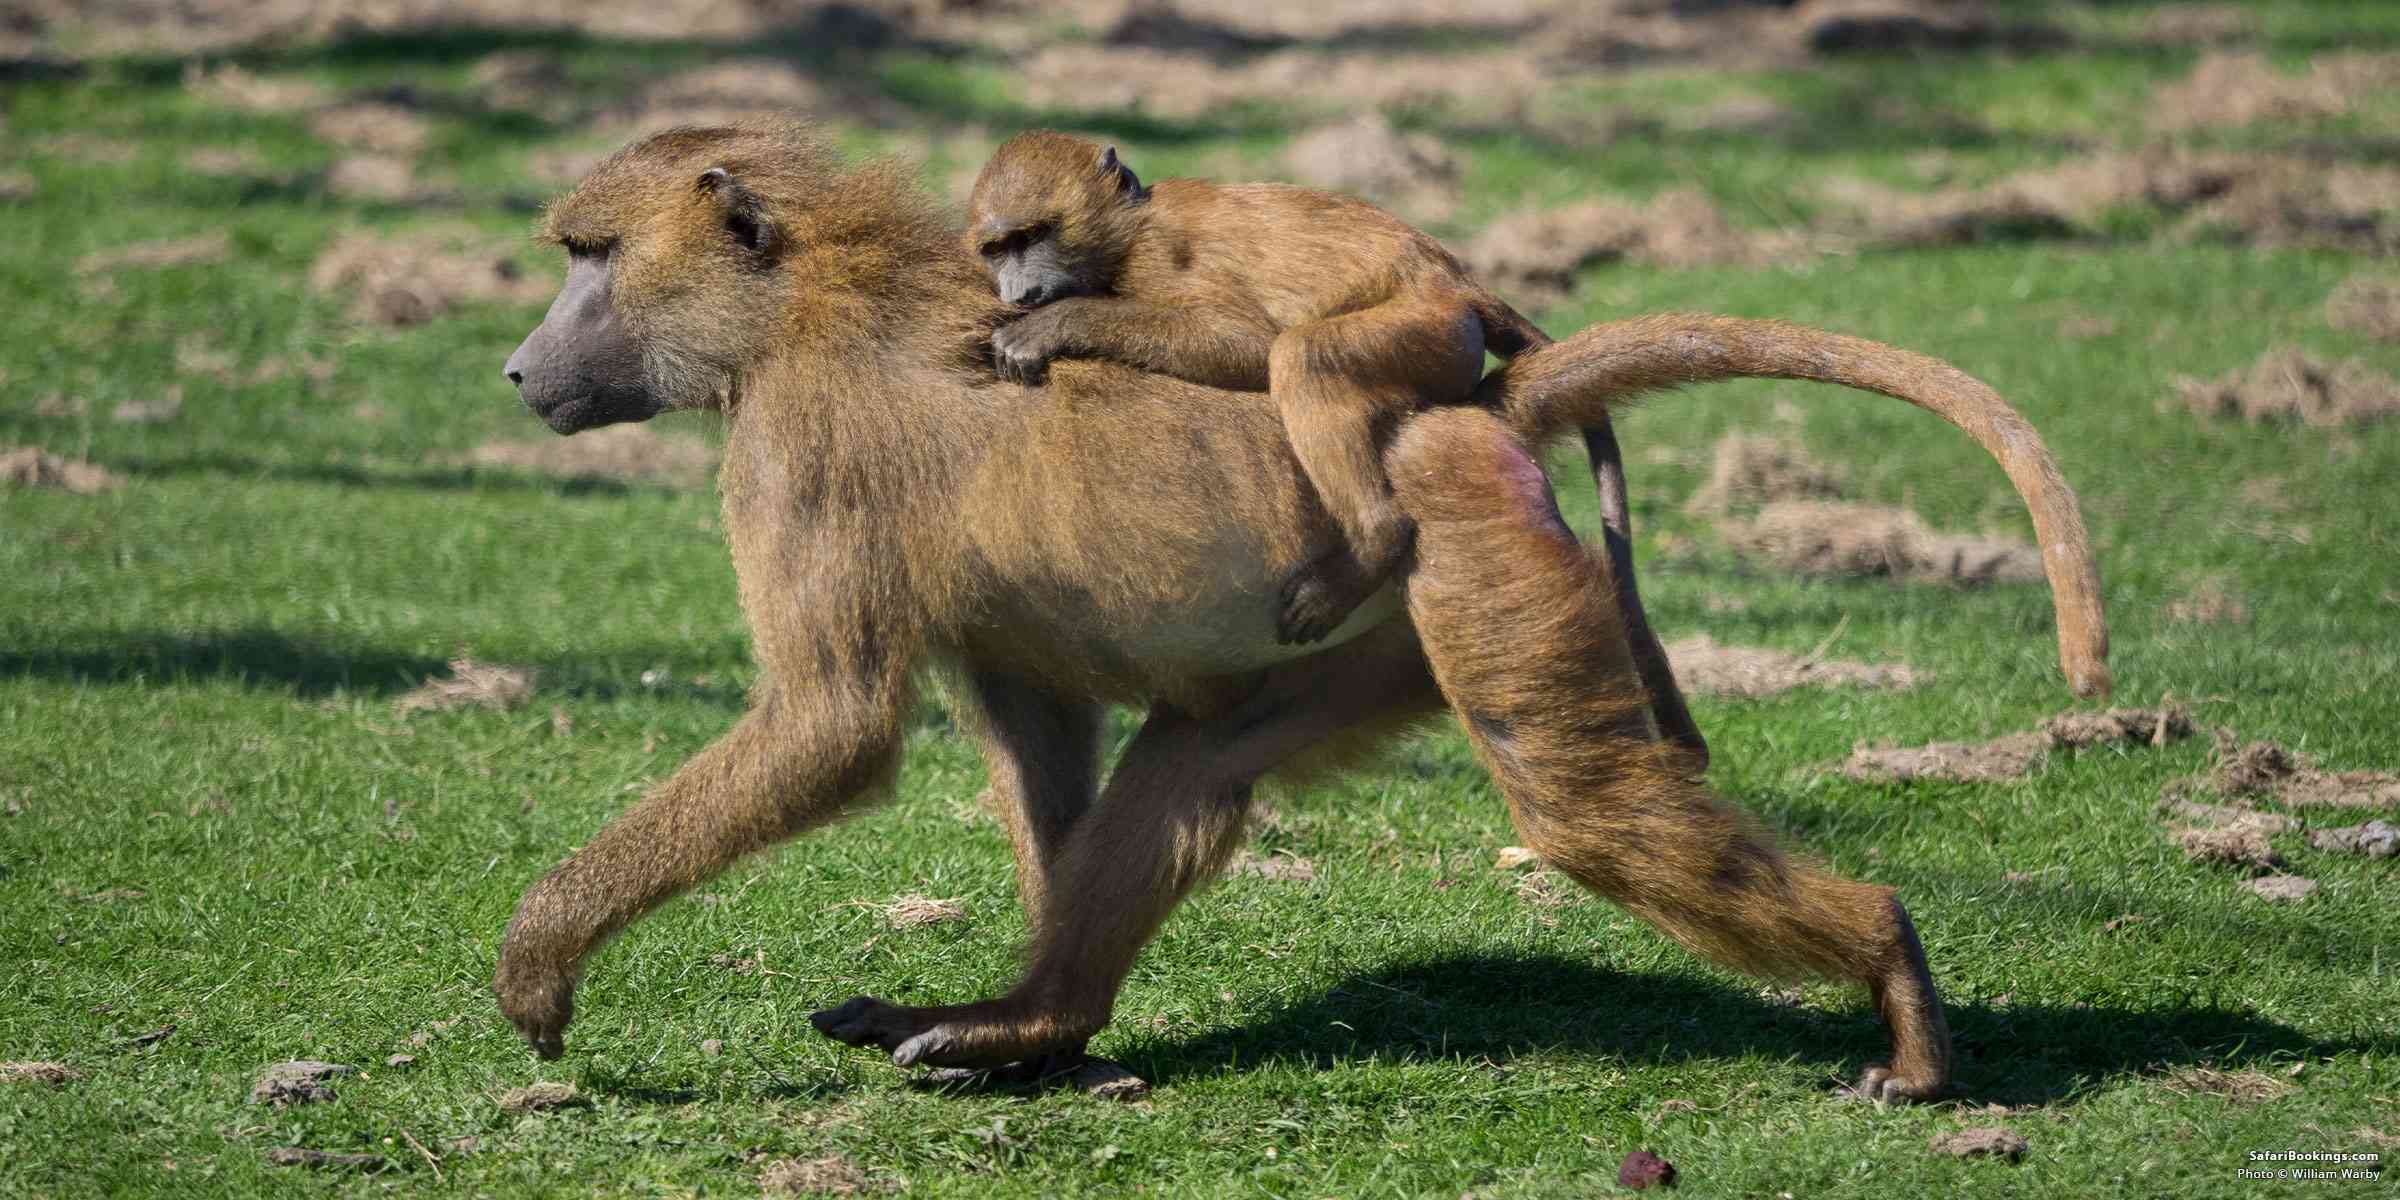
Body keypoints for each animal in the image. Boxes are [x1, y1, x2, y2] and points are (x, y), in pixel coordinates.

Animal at [961, 131, 1710, 775]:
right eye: (999, 248)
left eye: (1035, 236)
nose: (1020, 294)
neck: (1128, 228)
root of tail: (1458, 283)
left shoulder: (1162, 262)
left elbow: (1242, 344)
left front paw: (1049, 327)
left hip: (1426, 335)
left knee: (1303, 355)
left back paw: (1371, 546)